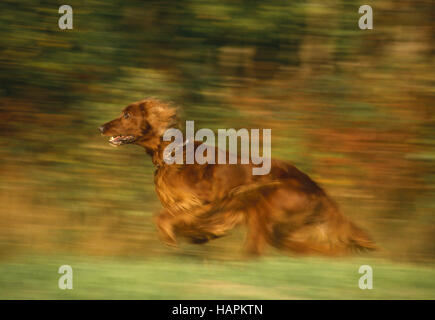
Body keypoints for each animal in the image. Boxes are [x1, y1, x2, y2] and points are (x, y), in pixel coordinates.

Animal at [99, 99, 378, 256]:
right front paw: (199, 235)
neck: (172, 153)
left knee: (258, 249)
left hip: (269, 197)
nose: (101, 127)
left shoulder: (207, 201)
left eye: (127, 115)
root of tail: (320, 192)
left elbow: (162, 217)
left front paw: (173, 238)